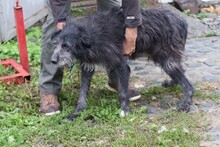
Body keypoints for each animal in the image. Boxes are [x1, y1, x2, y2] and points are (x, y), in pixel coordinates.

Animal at [50, 7, 193, 120]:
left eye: (66, 46)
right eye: (55, 44)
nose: (53, 60)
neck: (89, 36)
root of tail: (181, 21)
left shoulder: (122, 65)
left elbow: (123, 93)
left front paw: (125, 110)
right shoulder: (87, 67)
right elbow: (82, 93)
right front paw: (77, 113)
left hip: (167, 60)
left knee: (189, 85)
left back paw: (185, 104)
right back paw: (172, 83)